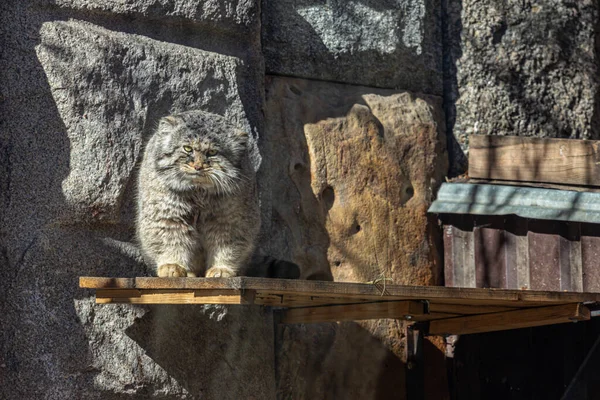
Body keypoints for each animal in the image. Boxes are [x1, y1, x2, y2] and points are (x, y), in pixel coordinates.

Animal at [137, 109, 258, 278]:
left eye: (212, 152)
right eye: (188, 148)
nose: (197, 166)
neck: (199, 191)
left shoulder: (230, 221)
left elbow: (227, 245)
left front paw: (222, 268)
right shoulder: (168, 216)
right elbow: (171, 239)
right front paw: (172, 265)